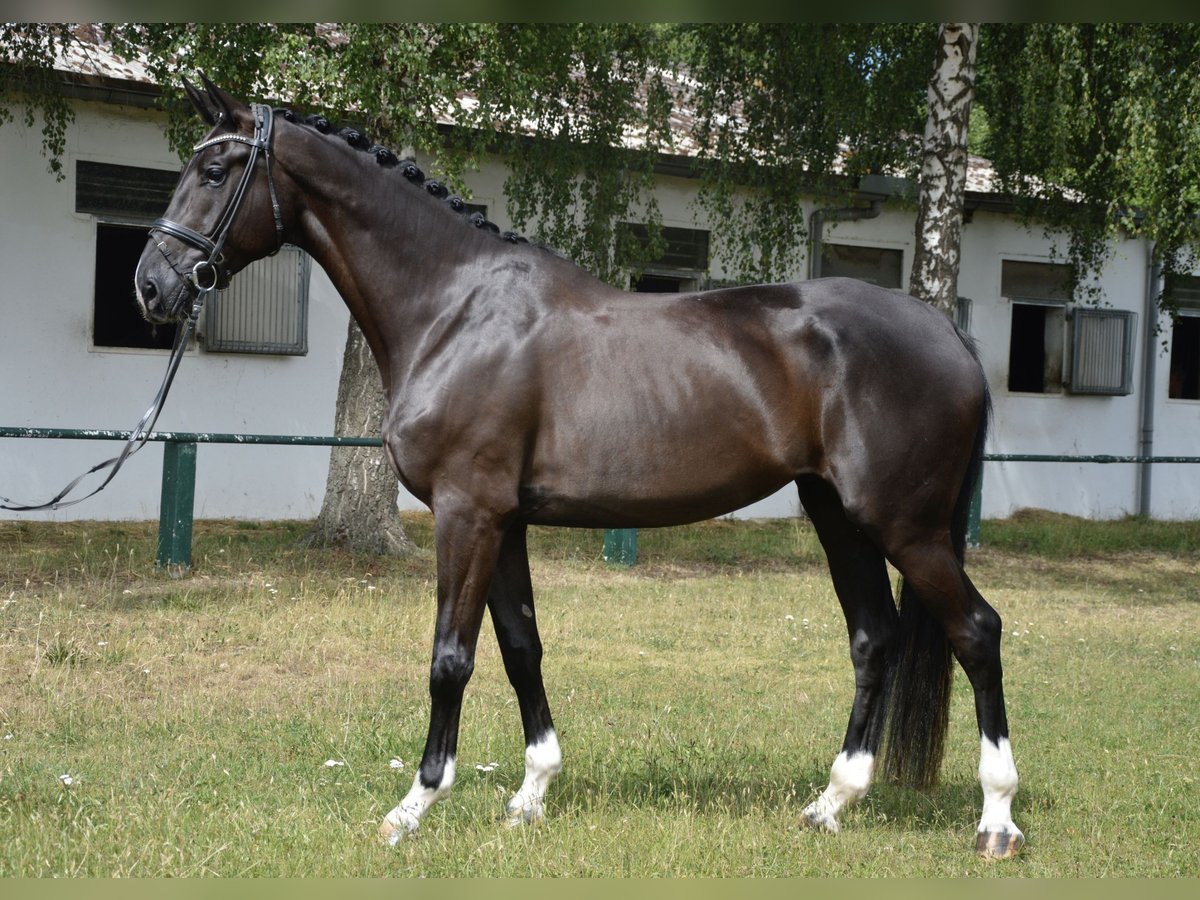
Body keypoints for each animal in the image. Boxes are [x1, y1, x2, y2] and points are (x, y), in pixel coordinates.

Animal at [138, 79, 1022, 859]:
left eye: (214, 172)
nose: (151, 286)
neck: (456, 309)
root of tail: (949, 336)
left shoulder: (468, 512)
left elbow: (450, 659)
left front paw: (413, 808)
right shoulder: (504, 520)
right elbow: (521, 647)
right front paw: (530, 794)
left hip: (904, 525)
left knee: (977, 632)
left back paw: (997, 819)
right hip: (839, 515)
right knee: (875, 639)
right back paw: (831, 803)